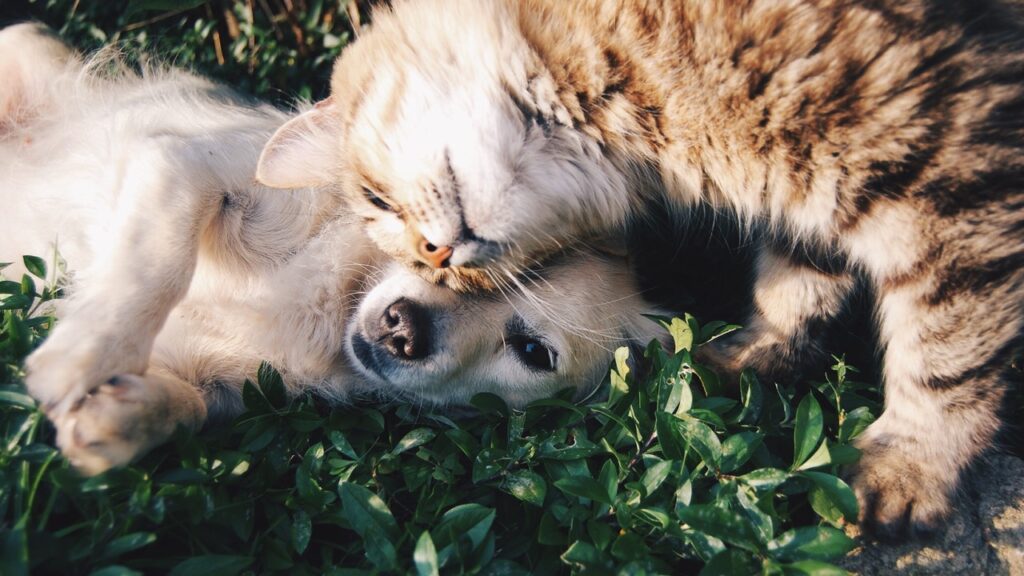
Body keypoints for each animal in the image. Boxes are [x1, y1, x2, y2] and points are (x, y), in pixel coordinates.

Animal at [0, 22, 667, 473]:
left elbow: (187, 407)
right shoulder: (185, 165)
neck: (334, 303)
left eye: (533, 351)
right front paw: (83, 356)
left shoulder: (223, 385)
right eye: (435, 251)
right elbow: (155, 264)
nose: (403, 328)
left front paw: (120, 418)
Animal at [256, 1, 1024, 537]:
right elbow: (796, 284)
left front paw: (911, 464)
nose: (438, 258)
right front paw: (753, 357)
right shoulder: (817, 195)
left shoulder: (949, 174)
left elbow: (946, 353)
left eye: (379, 202)